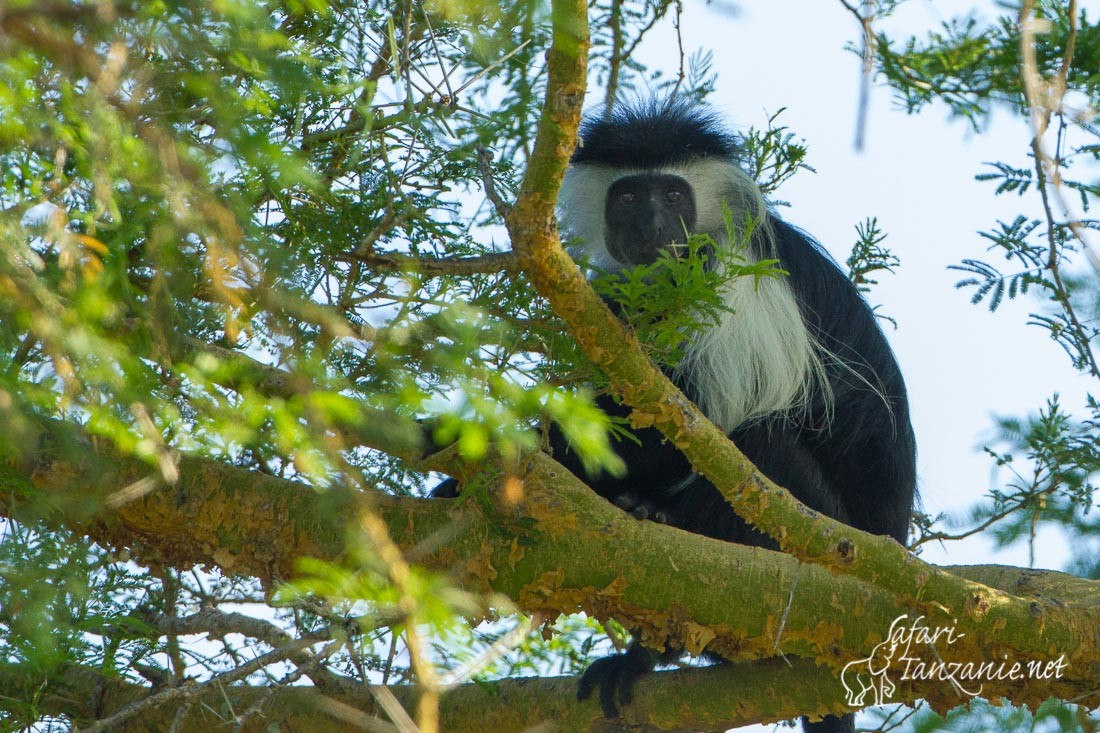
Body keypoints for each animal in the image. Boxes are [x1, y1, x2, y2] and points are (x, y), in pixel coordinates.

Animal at [433, 100, 915, 730]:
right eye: (629, 197)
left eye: (672, 194)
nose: (651, 226)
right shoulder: (615, 300)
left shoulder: (732, 276)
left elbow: (692, 427)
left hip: (830, 540)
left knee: (759, 449)